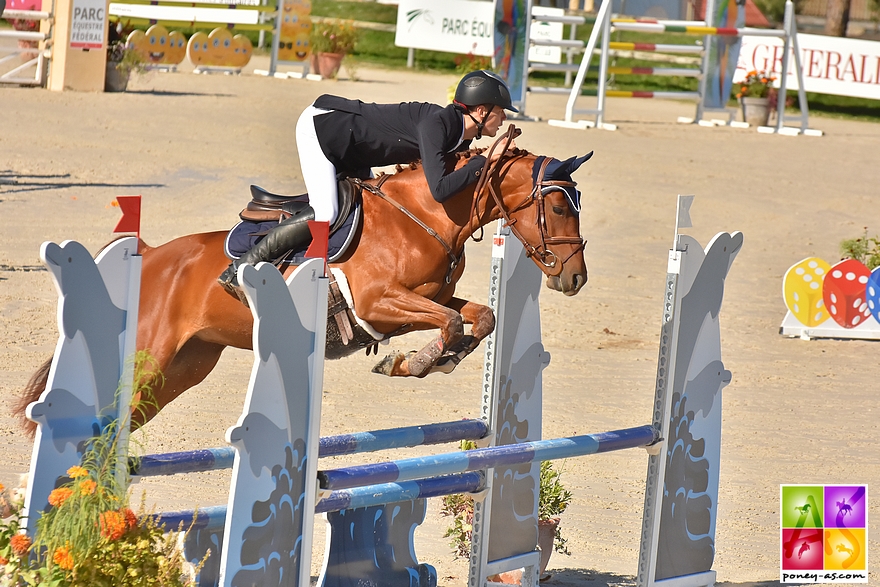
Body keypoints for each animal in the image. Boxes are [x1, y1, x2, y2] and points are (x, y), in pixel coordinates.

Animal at [15, 131, 592, 434]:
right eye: (561, 206)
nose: (576, 278)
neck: (423, 215)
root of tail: (152, 256)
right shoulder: (379, 304)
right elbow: (450, 322)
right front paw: (413, 362)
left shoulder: (425, 299)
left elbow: (478, 317)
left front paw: (428, 360)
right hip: (150, 356)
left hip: (184, 368)